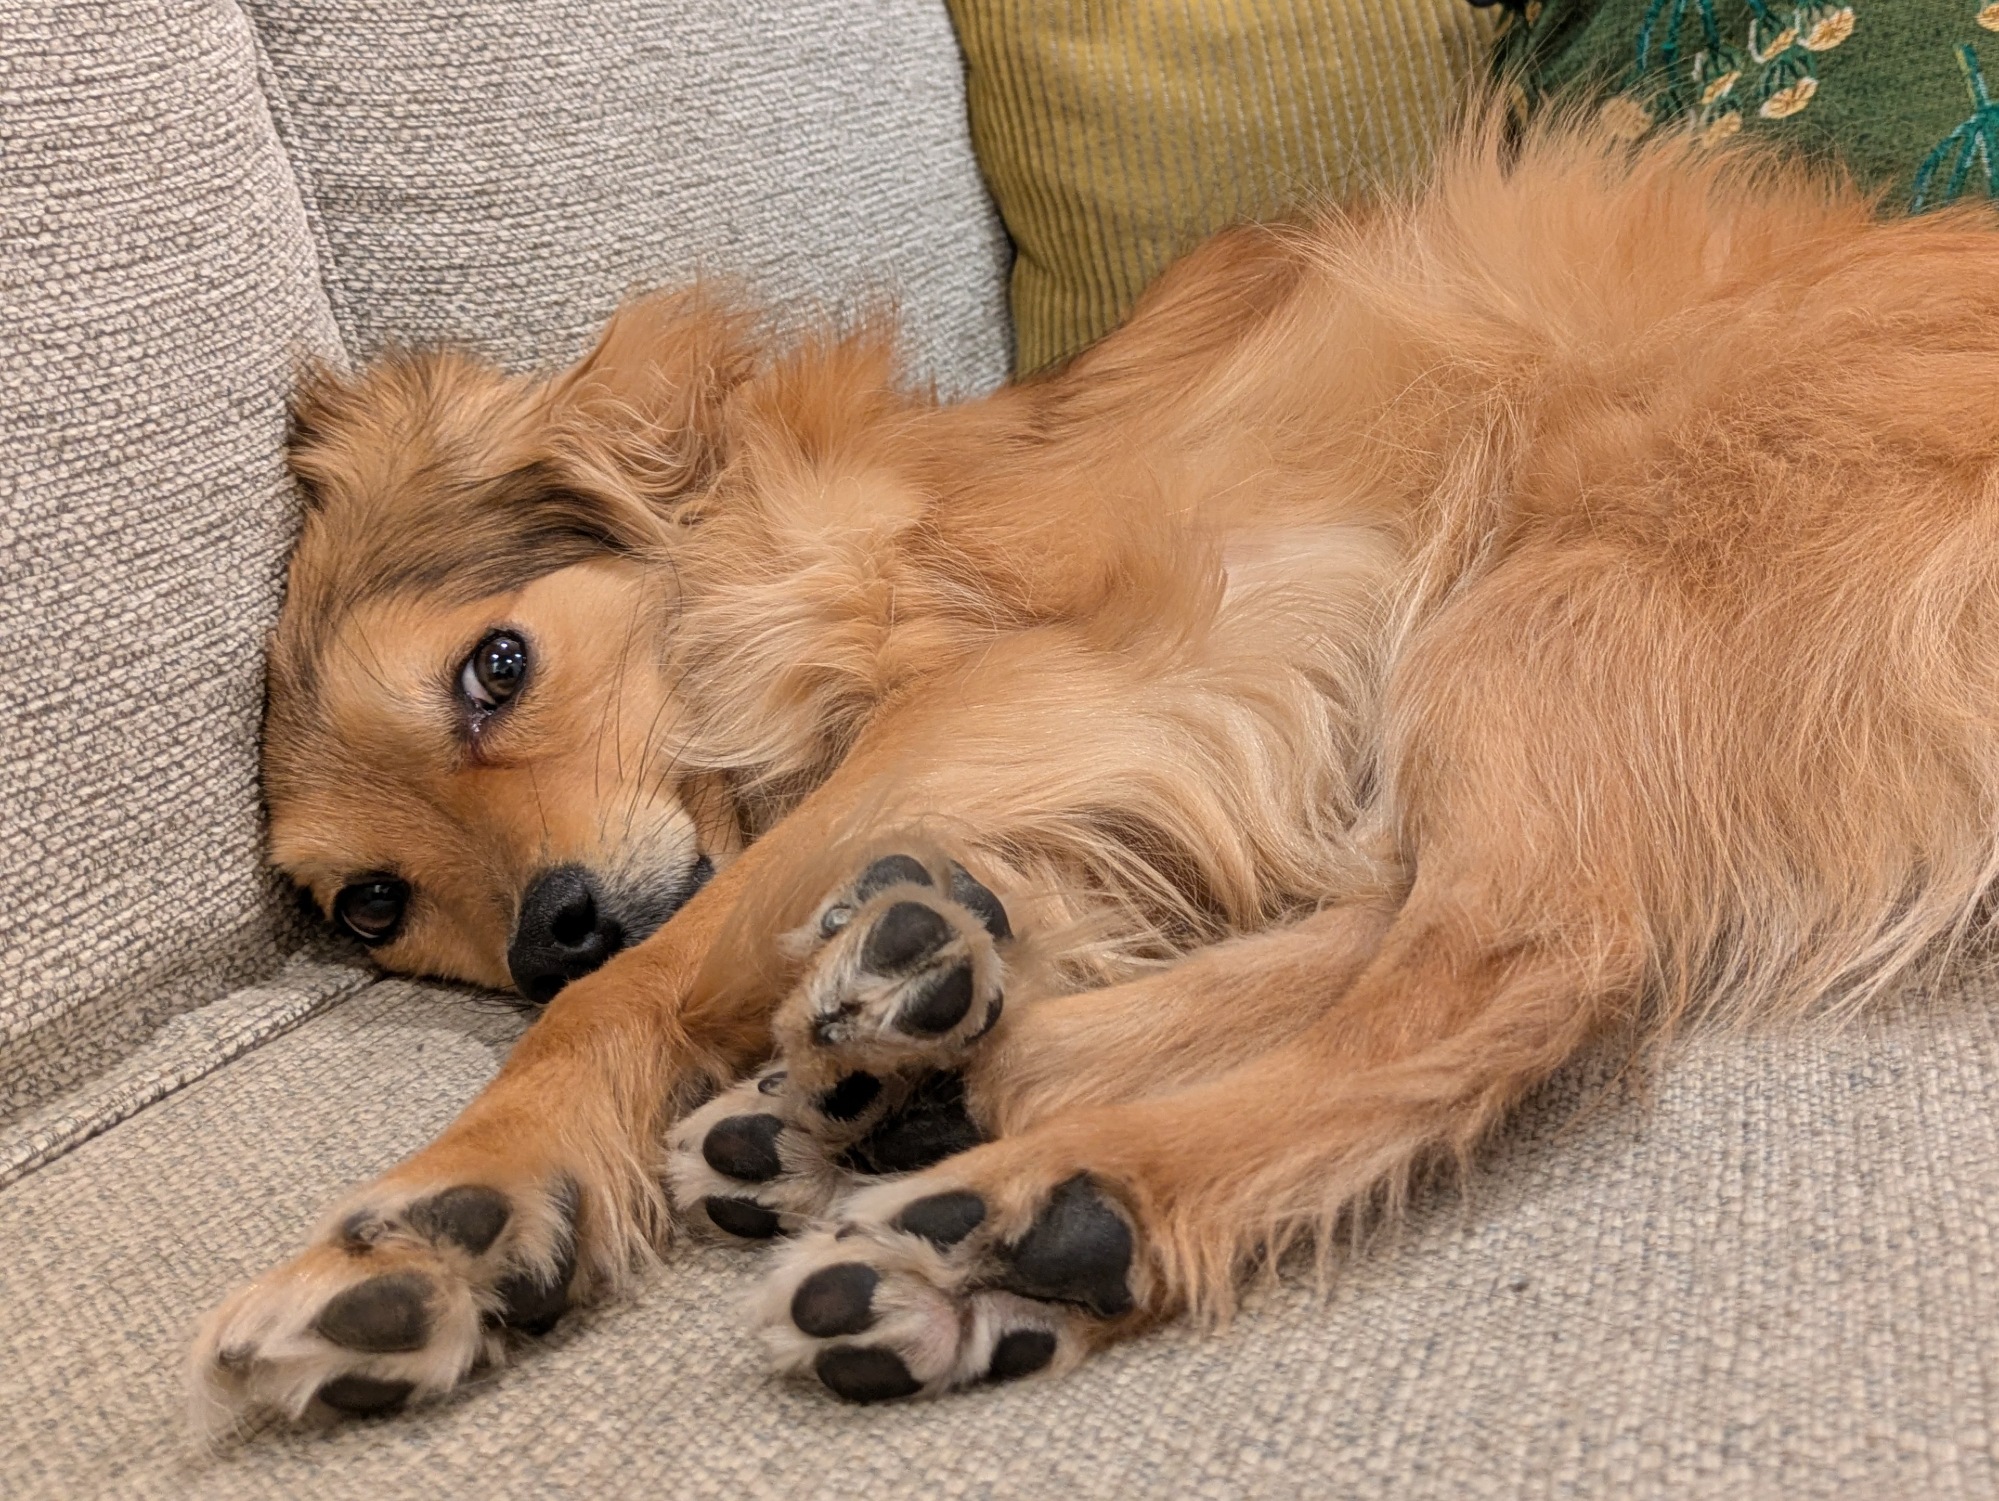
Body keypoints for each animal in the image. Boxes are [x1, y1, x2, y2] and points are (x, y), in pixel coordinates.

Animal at [190, 114, 1999, 1430]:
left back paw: (1035, 1216)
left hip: (1566, 559)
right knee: (1431, 927)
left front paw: (447, 1209)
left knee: (1521, 956)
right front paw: (915, 985)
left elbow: (652, 975)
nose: (545, 925)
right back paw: (911, 1089)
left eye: (495, 668)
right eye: (370, 906)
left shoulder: (1104, 670)